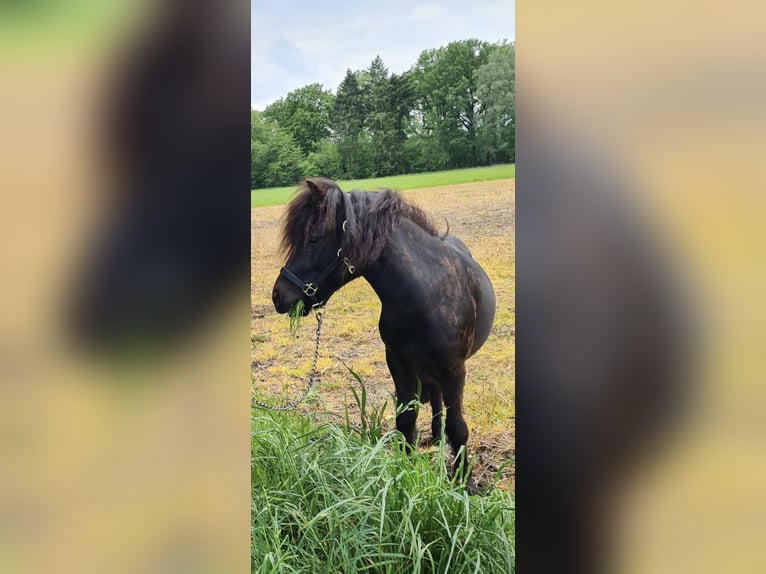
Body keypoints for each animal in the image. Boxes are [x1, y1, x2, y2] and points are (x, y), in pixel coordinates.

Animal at [272, 178, 498, 484]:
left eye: (314, 239)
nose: (278, 296)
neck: (426, 294)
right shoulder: (397, 362)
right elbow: (406, 419)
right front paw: (406, 470)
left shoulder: (454, 369)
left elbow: (457, 426)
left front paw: (463, 482)